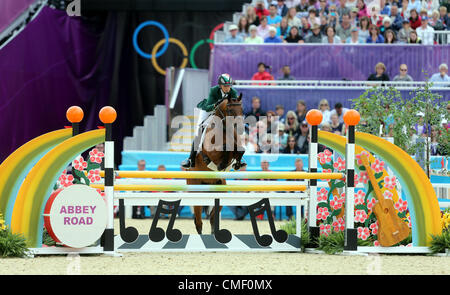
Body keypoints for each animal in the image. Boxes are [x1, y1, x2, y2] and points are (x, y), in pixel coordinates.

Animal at [186, 93, 244, 235]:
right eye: (230, 110)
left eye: (242, 110)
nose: (240, 129)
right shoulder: (212, 151)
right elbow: (224, 149)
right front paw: (222, 165)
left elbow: (239, 150)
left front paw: (236, 164)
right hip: (196, 191)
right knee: (198, 222)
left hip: (221, 190)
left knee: (212, 217)